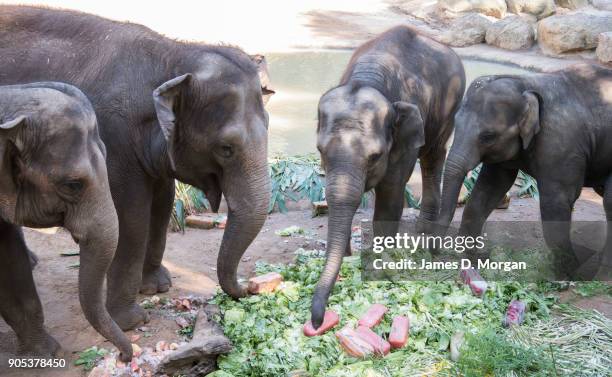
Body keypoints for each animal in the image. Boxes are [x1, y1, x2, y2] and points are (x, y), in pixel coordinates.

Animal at [0, 5, 272, 328]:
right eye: (226, 149)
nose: (250, 287)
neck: (173, 56)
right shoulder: (114, 140)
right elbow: (131, 217)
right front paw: (130, 321)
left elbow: (162, 203)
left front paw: (157, 286)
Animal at [310, 25, 464, 326]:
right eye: (320, 150)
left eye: (375, 156)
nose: (316, 321)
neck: (367, 80)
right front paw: (349, 257)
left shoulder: (402, 136)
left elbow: (390, 196)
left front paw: (380, 265)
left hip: (450, 106)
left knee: (433, 155)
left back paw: (425, 235)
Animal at [436, 62, 612, 280]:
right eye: (456, 123)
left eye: (488, 136)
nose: (434, 252)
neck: (526, 84)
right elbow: (490, 188)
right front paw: (474, 260)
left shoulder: (562, 145)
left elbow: (556, 202)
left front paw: (568, 274)